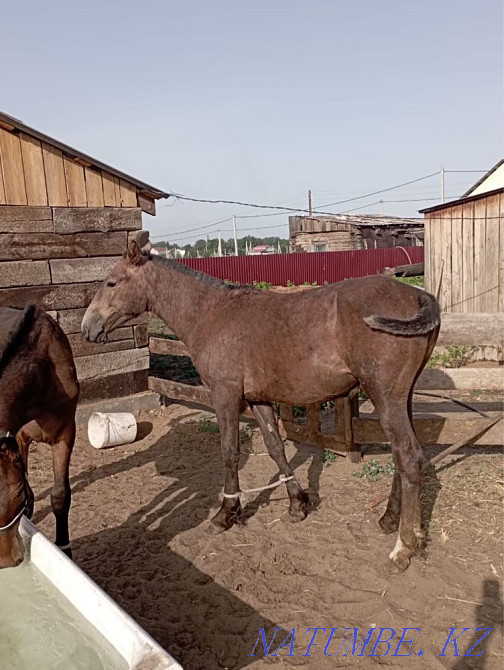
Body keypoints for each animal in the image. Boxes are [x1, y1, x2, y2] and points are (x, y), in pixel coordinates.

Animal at [0, 304, 79, 568]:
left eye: (17, 496)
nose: (7, 560)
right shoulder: (19, 437)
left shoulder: (65, 432)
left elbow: (60, 495)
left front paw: (64, 549)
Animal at [82, 233, 440, 570]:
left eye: (112, 282)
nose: (87, 327)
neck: (211, 314)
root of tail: (416, 295)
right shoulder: (258, 400)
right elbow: (275, 448)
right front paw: (297, 504)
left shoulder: (225, 396)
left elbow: (230, 452)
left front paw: (226, 513)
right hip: (400, 398)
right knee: (403, 456)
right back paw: (389, 519)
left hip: (384, 397)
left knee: (408, 457)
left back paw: (404, 546)